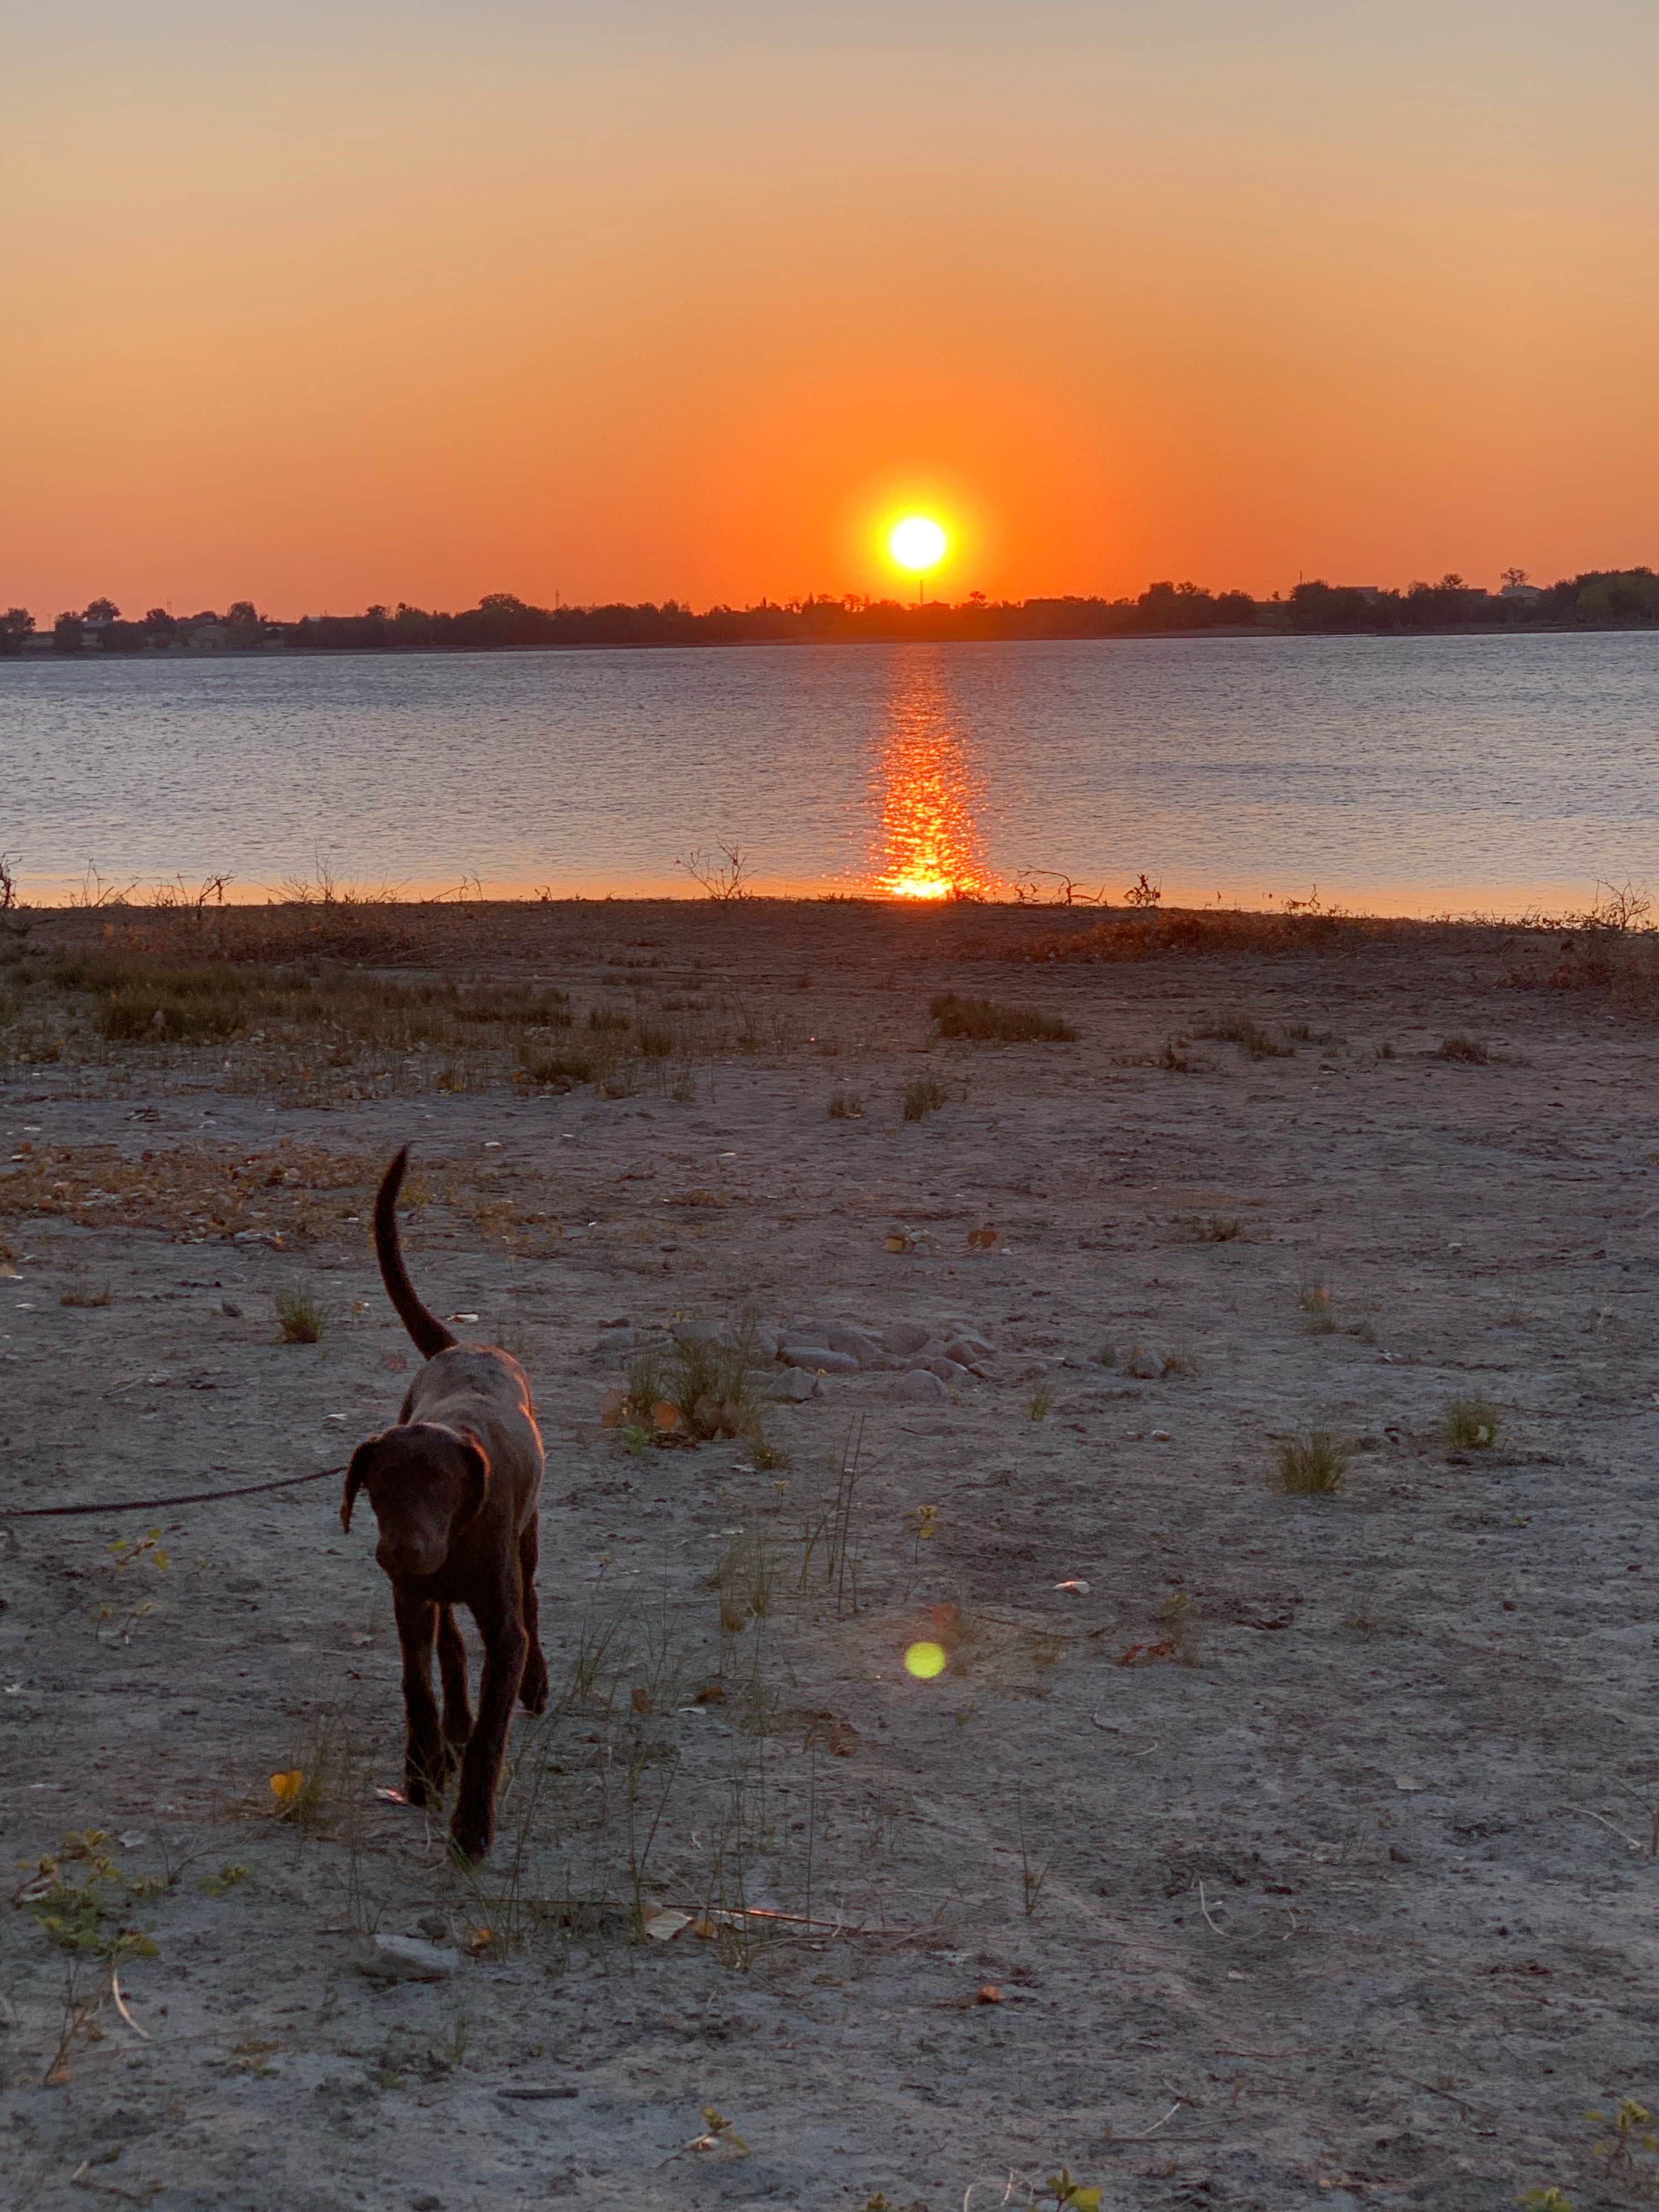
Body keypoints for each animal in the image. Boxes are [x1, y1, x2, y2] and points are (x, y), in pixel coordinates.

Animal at [340, 1150, 548, 1858]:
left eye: (442, 1485)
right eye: (376, 1489)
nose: (401, 1551)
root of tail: (465, 1344)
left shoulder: (502, 1624)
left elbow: (492, 1727)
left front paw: (472, 1824)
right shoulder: (408, 1599)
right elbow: (416, 1683)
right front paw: (422, 1768)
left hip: (528, 1539)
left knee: (532, 1598)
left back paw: (536, 1685)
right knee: (451, 1645)